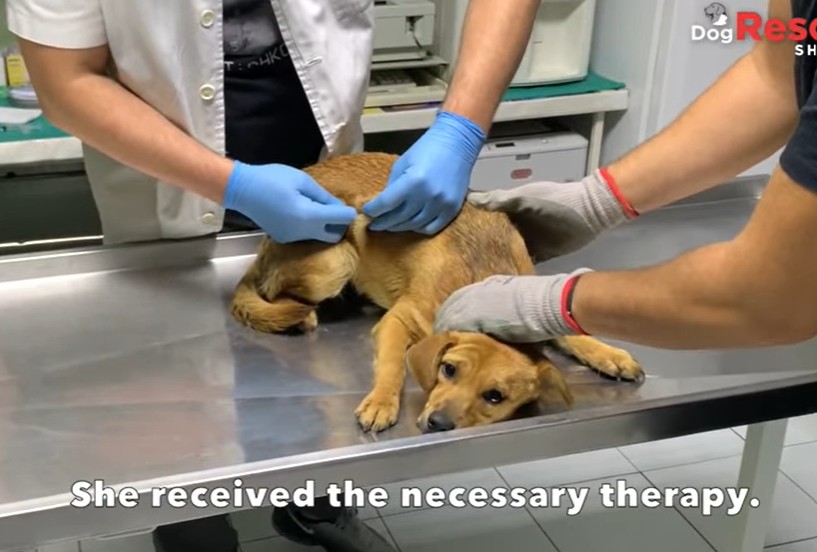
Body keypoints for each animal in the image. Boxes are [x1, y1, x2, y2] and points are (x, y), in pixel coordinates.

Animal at [230, 152, 644, 434]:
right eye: (448, 370)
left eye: (495, 396)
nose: (438, 423)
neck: (482, 276)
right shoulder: (399, 320)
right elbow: (393, 365)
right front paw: (382, 401)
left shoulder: (532, 303)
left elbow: (571, 330)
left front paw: (610, 354)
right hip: (334, 261)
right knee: (277, 294)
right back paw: (306, 315)